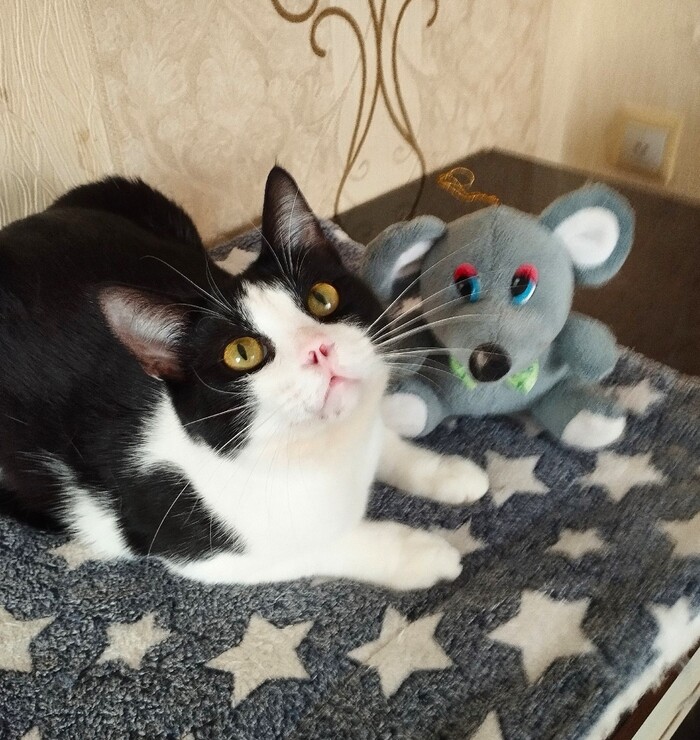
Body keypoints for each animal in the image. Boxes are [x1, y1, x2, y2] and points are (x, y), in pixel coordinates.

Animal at [0, 166, 488, 590]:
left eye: (322, 298)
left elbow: (385, 440)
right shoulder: (203, 548)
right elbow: (318, 546)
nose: (319, 349)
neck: (319, 452)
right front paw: (422, 554)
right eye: (241, 354)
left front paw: (448, 473)